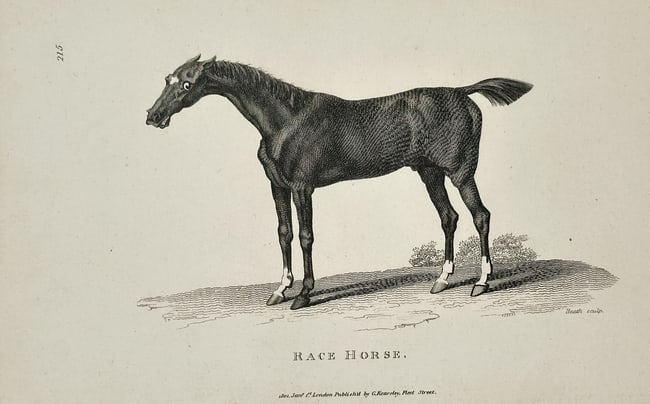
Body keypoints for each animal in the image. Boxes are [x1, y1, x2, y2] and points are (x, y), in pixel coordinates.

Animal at [146, 55, 532, 310]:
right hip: (429, 172)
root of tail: (461, 91)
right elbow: (284, 233)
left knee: (480, 215)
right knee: (448, 217)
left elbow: (305, 236)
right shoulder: (277, 187)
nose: (154, 116)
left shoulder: (302, 187)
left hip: (460, 172)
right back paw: (441, 280)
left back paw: (481, 283)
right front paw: (280, 290)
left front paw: (303, 294)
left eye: (187, 84)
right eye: (167, 79)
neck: (285, 121)